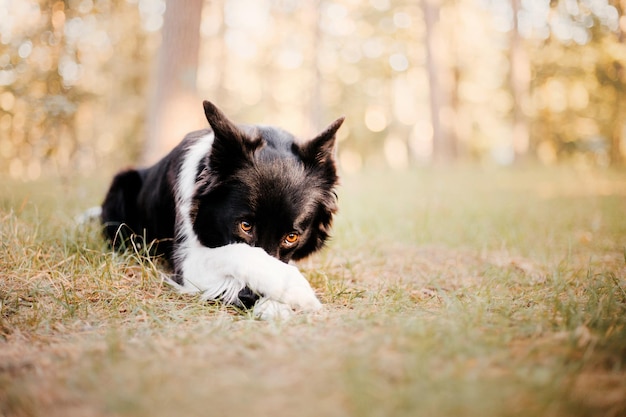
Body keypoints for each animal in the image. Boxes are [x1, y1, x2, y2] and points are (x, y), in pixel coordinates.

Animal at [98, 101, 342, 318]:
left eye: (291, 237)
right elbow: (237, 252)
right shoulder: (187, 261)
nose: (251, 298)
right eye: (245, 225)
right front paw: (293, 287)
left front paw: (274, 304)